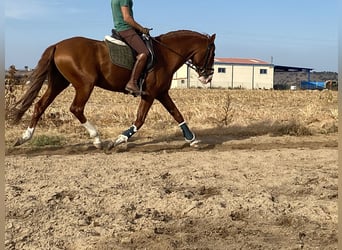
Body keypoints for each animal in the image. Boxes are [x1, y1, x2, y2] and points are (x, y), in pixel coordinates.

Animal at [10, 30, 215, 149]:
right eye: (212, 52)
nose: (208, 76)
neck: (165, 54)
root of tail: (58, 45)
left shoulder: (162, 93)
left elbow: (176, 113)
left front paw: (192, 138)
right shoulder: (150, 94)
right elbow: (140, 119)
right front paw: (119, 140)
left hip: (59, 83)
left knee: (40, 105)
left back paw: (24, 137)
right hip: (85, 84)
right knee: (76, 108)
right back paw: (97, 139)